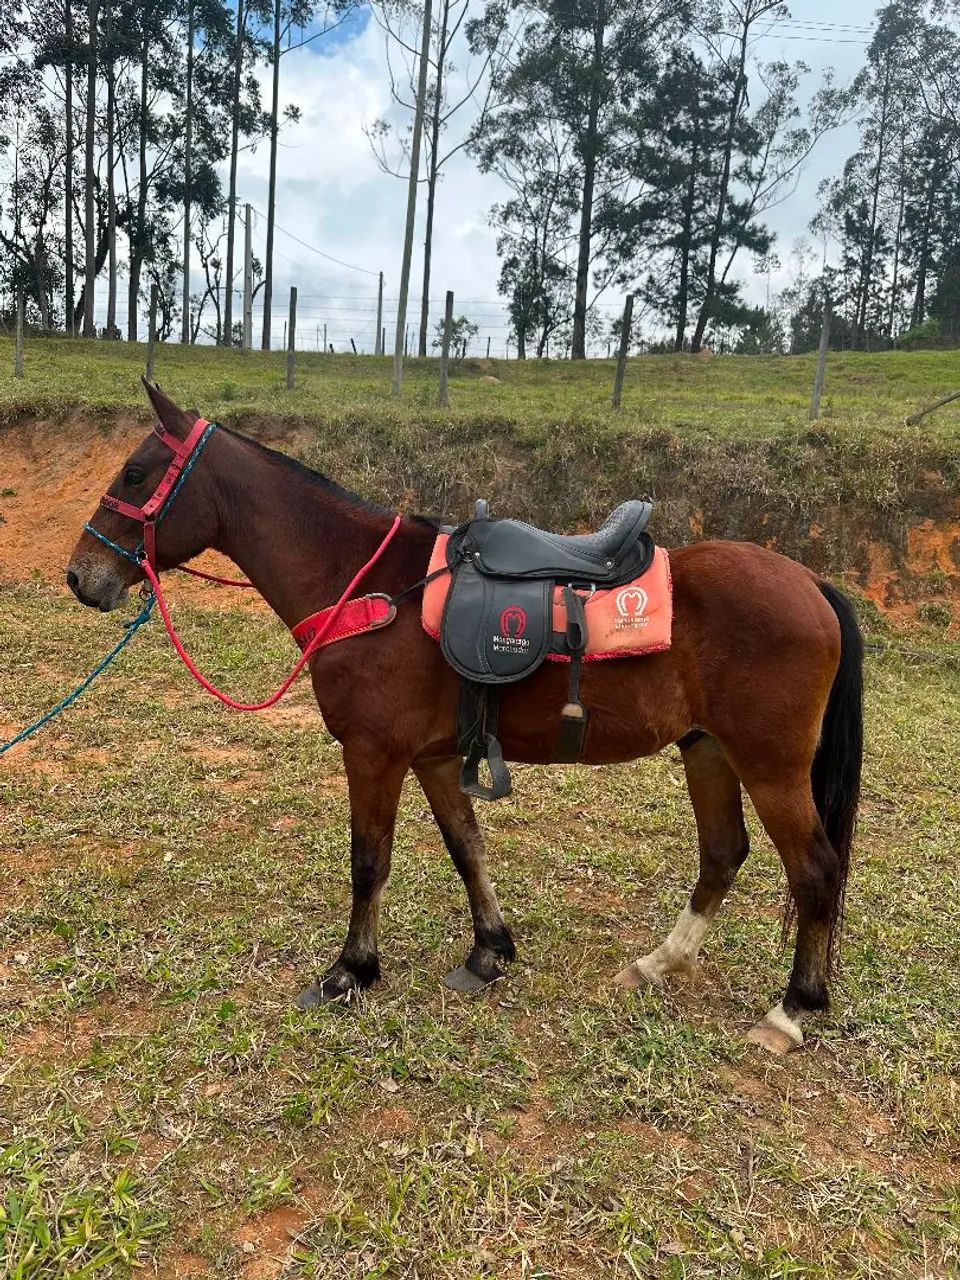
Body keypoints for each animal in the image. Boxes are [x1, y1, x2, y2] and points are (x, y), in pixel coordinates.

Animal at [66, 383, 863, 1055]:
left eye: (134, 474)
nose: (80, 576)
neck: (370, 588)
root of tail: (812, 583)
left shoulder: (374, 754)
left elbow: (369, 862)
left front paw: (351, 970)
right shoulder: (434, 757)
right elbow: (467, 849)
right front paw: (489, 951)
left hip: (771, 766)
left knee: (816, 871)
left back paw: (791, 1010)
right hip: (709, 752)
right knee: (723, 854)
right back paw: (659, 962)